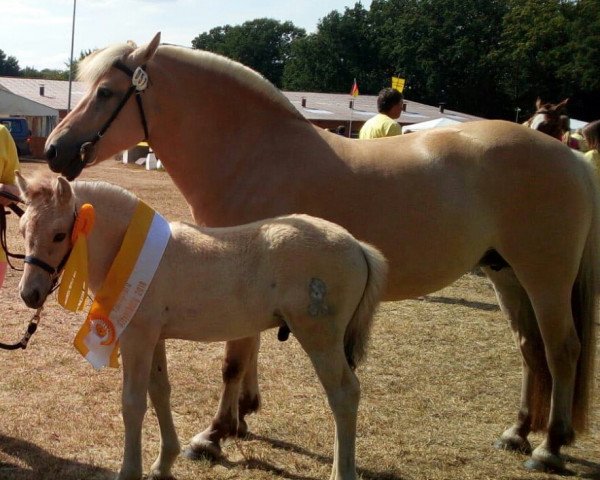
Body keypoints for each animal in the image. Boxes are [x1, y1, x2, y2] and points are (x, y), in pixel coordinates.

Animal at [18, 173, 386, 480]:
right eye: (22, 230)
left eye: (60, 234)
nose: (29, 294)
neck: (129, 249)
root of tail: (358, 246)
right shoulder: (154, 337)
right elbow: (159, 391)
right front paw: (164, 463)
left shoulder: (137, 338)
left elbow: (133, 403)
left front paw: (130, 471)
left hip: (320, 338)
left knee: (344, 394)